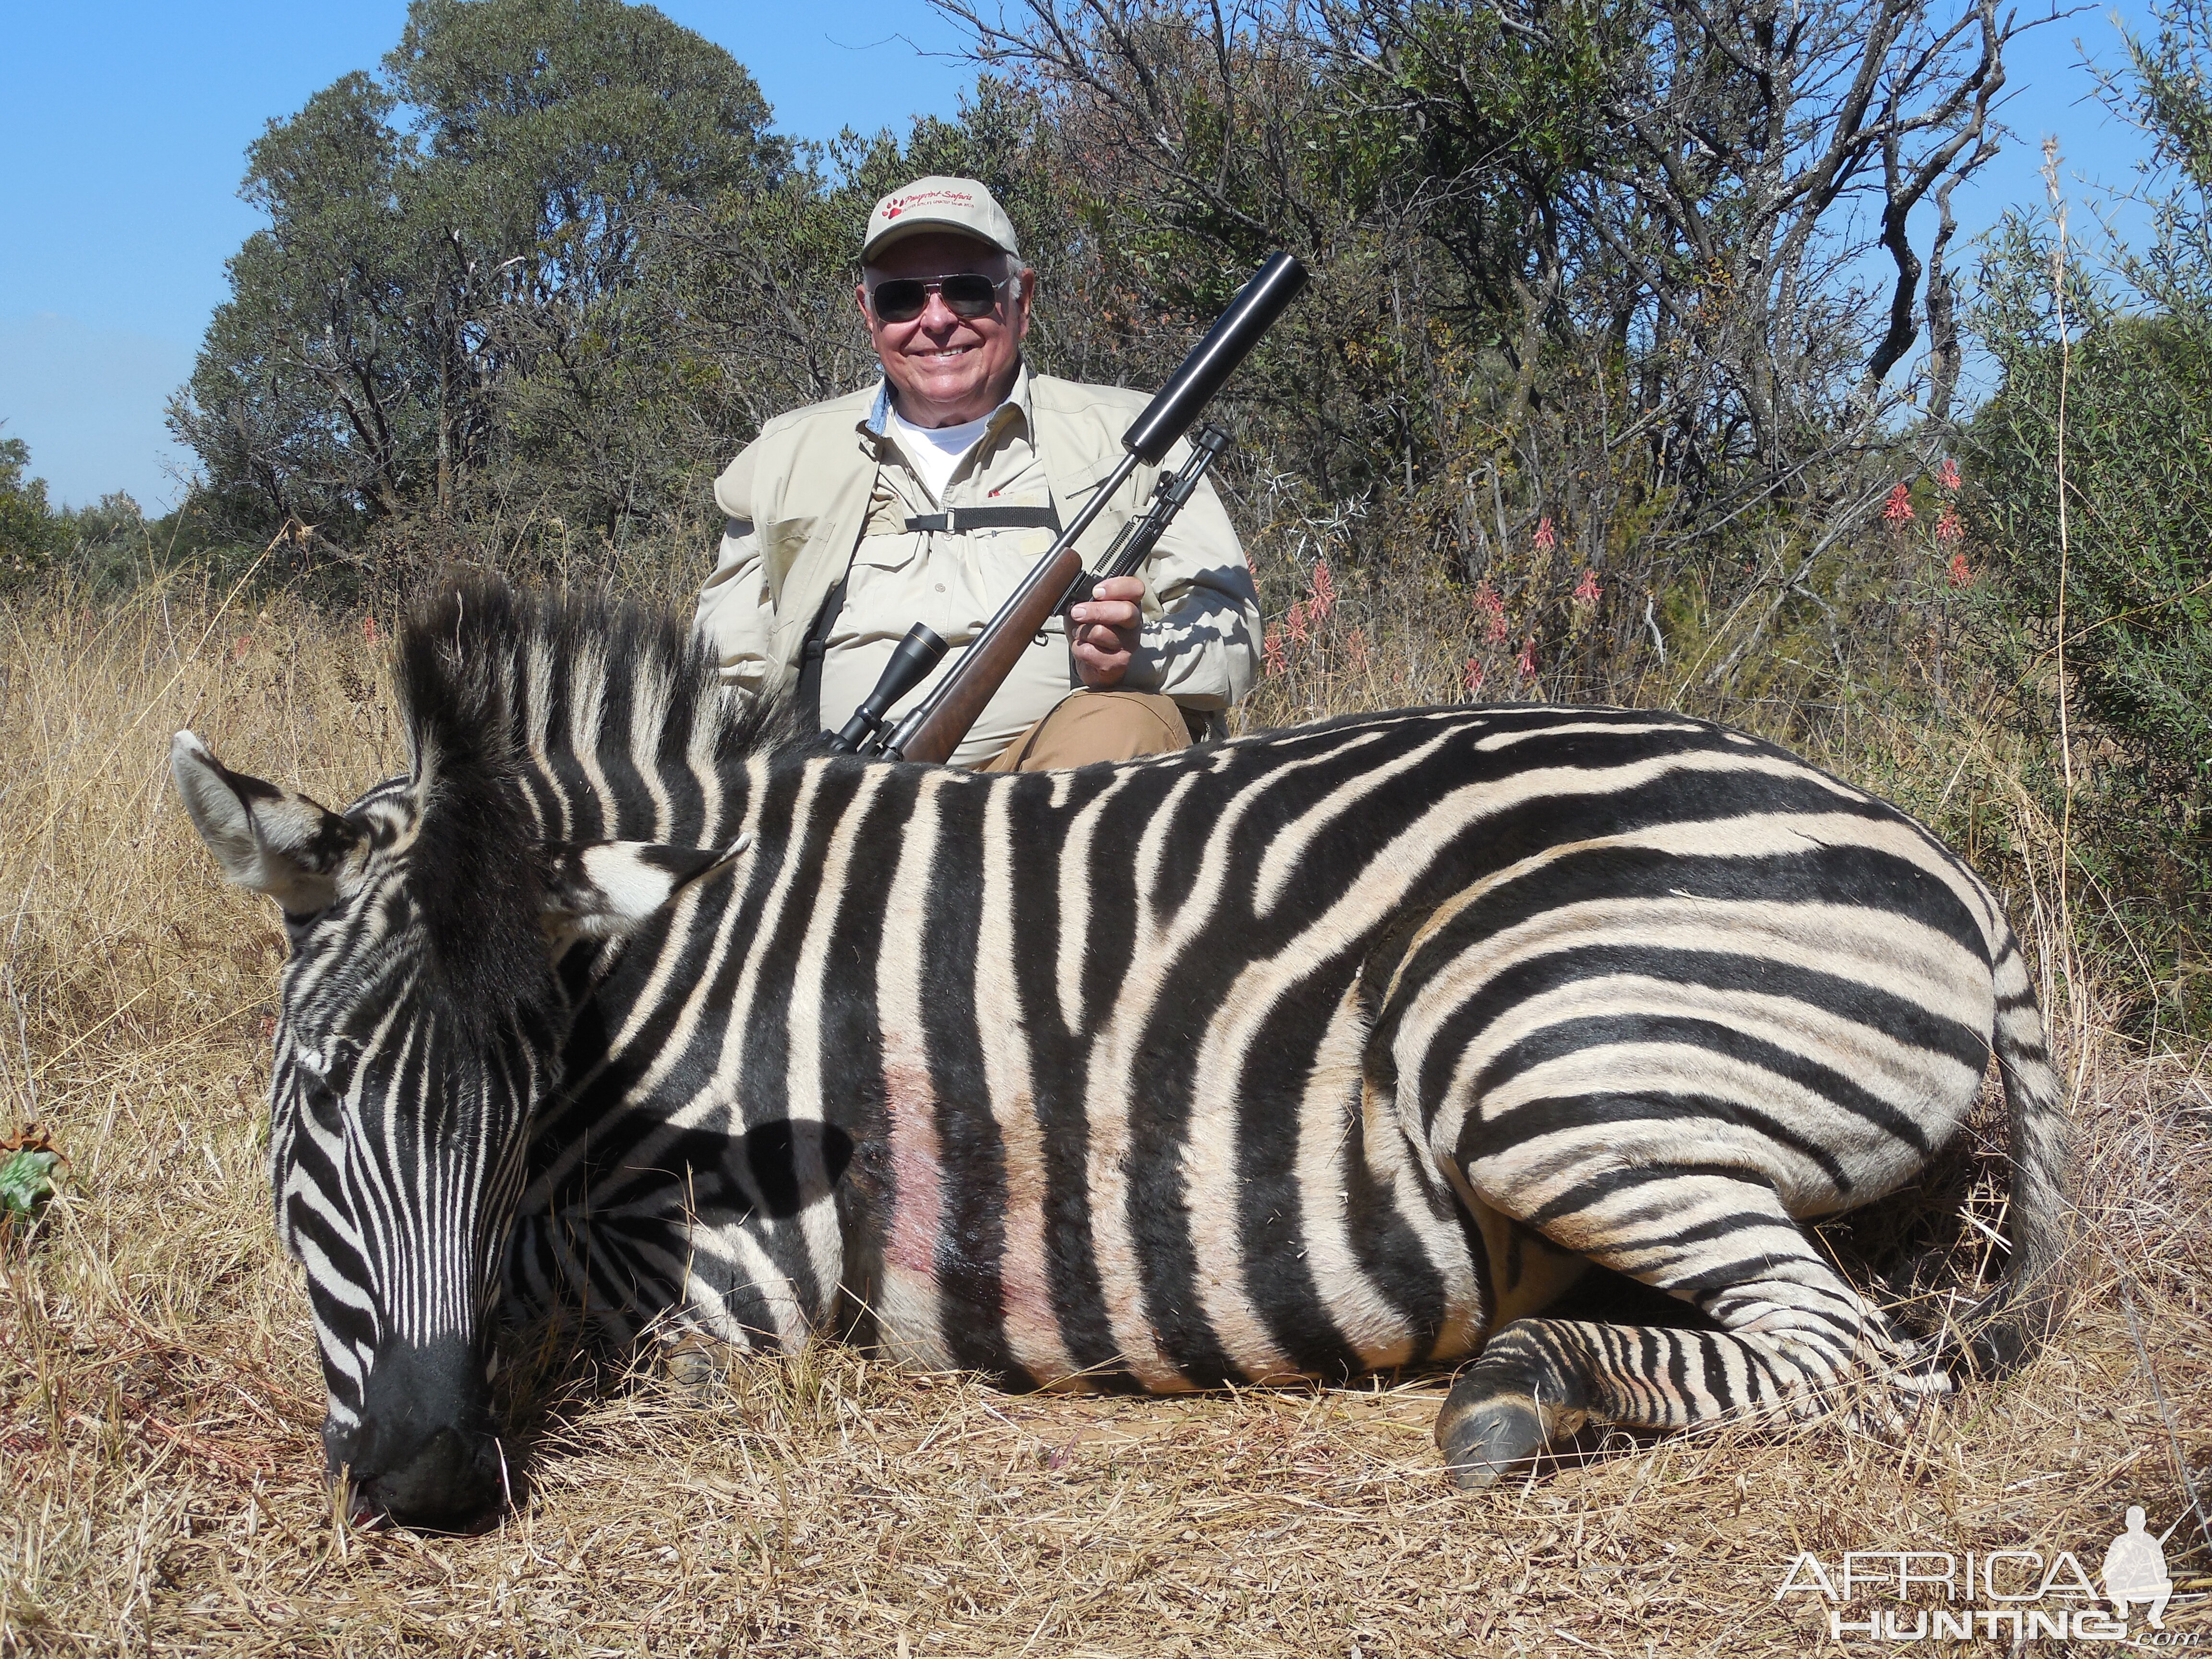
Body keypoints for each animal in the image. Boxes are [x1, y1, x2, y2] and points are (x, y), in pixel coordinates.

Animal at [172, 584, 2070, 1530]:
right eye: (318, 1094)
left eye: (505, 1116)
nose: (425, 1484)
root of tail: (1942, 862)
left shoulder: (743, 1283)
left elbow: (594, 1336)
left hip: (1534, 1056)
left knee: (1851, 1357)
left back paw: (1517, 1395)